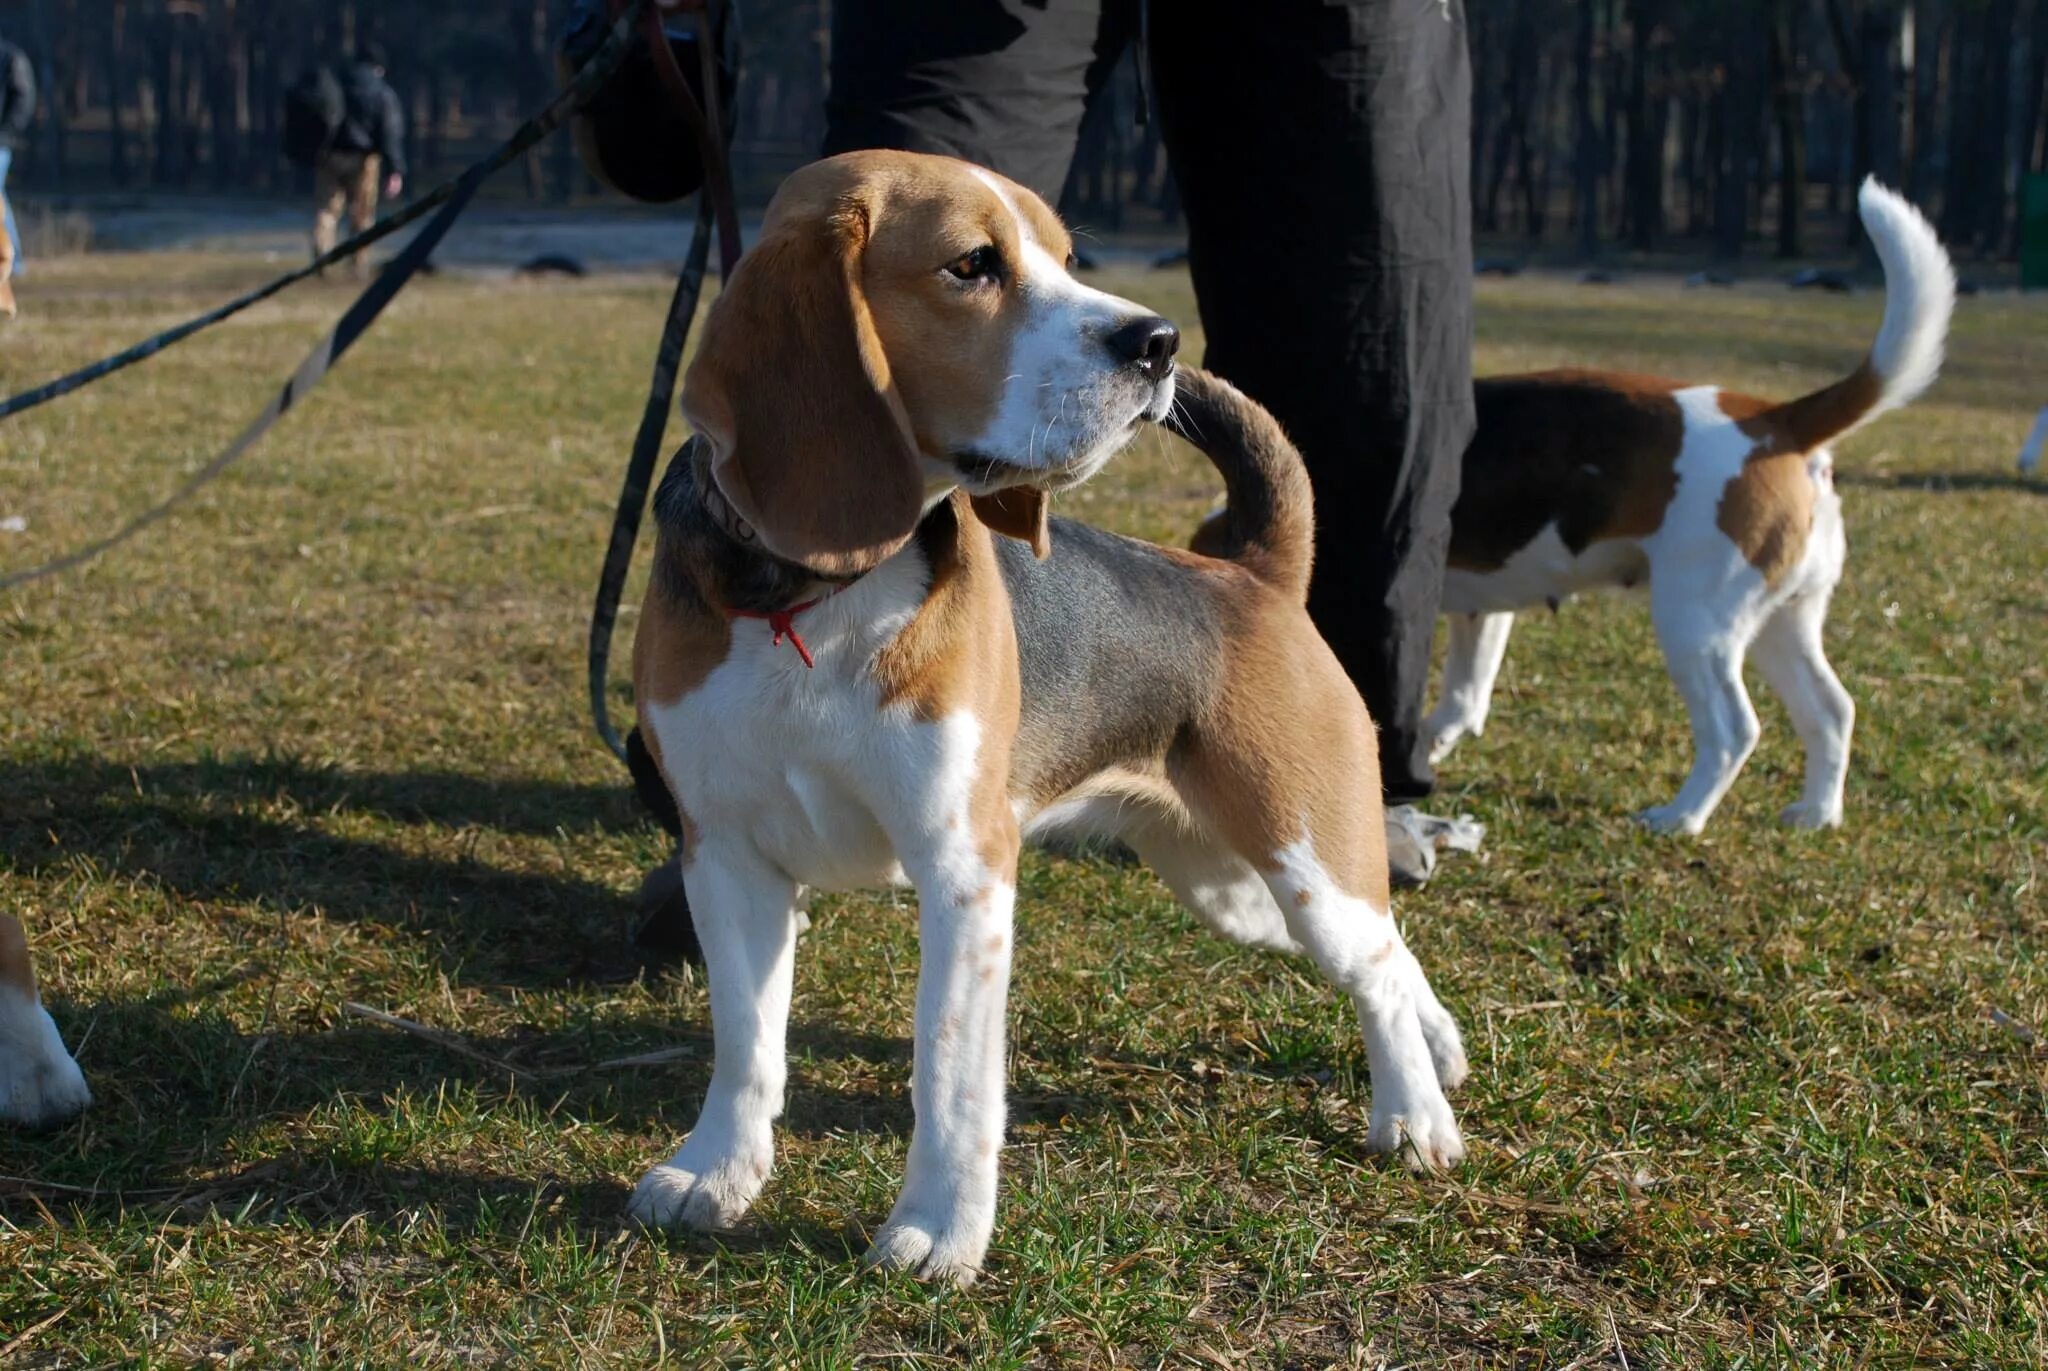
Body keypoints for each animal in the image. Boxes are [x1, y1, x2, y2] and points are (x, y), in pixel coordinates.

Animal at [626, 152, 1474, 1286]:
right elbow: (745, 1040)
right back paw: (1437, 1049)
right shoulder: (724, 854)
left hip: (1302, 855)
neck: (815, 597)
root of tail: (1252, 576)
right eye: (971, 265)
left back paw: (1414, 1115)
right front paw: (716, 1172)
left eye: (1069, 259)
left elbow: (947, 1069)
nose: (1158, 342)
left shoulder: (964, 870)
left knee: (1372, 968)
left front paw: (937, 1231)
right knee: (1389, 947)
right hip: (1234, 887)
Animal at [1409, 181, 1949, 836]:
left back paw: (1681, 816)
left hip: (1695, 621)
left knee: (1734, 730)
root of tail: (1775, 420)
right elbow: (1463, 698)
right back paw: (1817, 813)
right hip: (1781, 619)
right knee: (1832, 710)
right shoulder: (1481, 611)